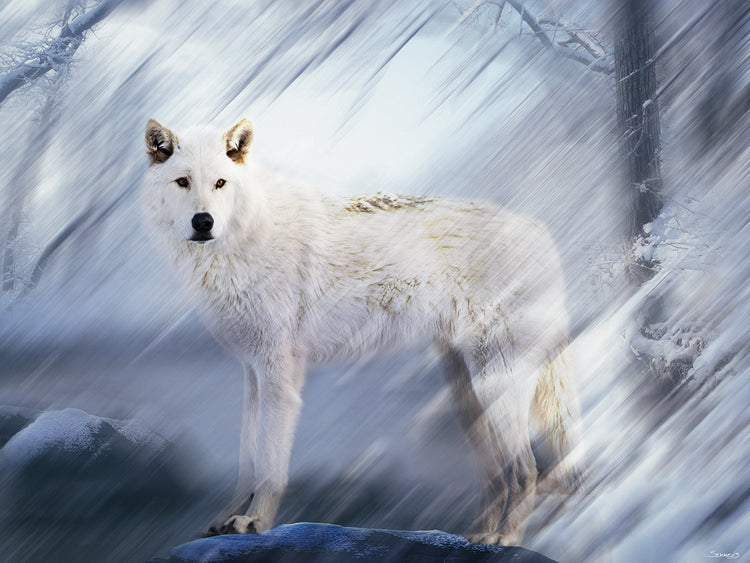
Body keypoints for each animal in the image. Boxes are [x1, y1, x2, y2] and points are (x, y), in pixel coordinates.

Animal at [142, 118, 584, 546]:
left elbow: (269, 464)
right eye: (182, 182)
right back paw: (477, 535)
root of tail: (538, 229)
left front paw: (255, 523)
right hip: (469, 397)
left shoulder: (279, 374)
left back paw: (506, 538)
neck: (245, 237)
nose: (203, 222)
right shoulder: (252, 373)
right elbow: (245, 461)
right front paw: (225, 519)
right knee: (495, 475)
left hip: (496, 386)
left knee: (526, 469)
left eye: (220, 183)